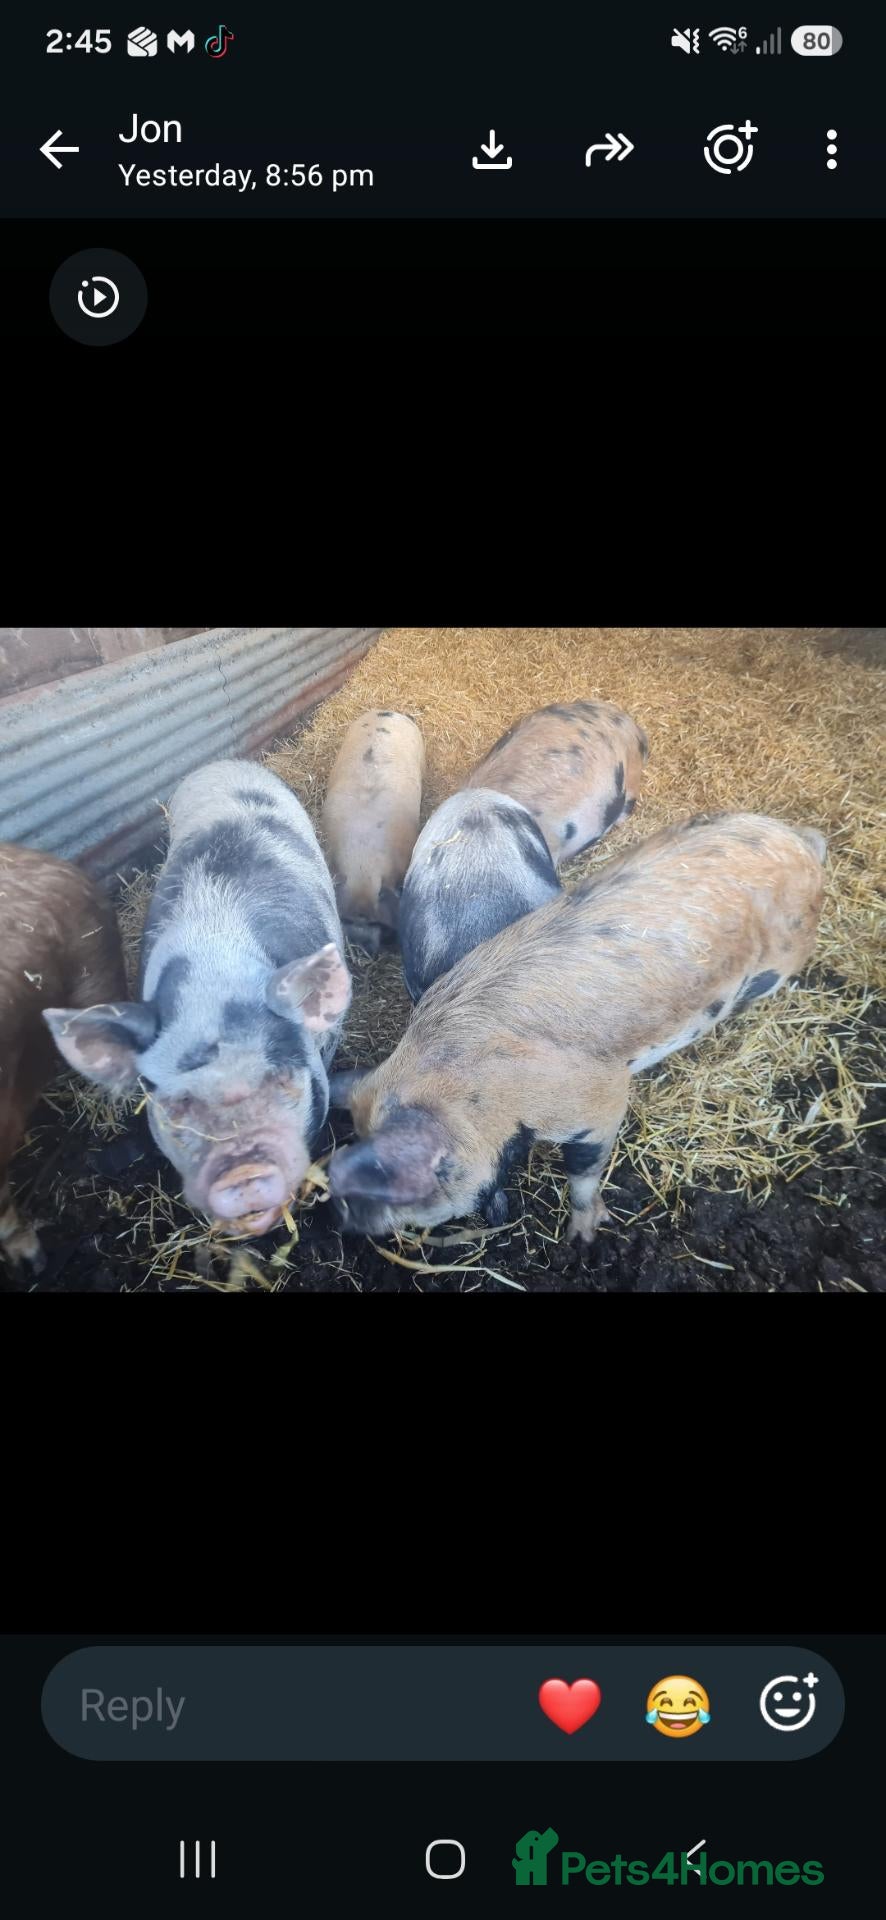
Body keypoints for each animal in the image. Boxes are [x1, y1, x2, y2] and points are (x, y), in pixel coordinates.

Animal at [327, 813, 827, 1243]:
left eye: (404, 1188)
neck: (474, 1087)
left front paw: (583, 1237)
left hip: (781, 957)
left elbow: (584, 1167)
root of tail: (799, 842)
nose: (341, 1211)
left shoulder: (597, 1096)